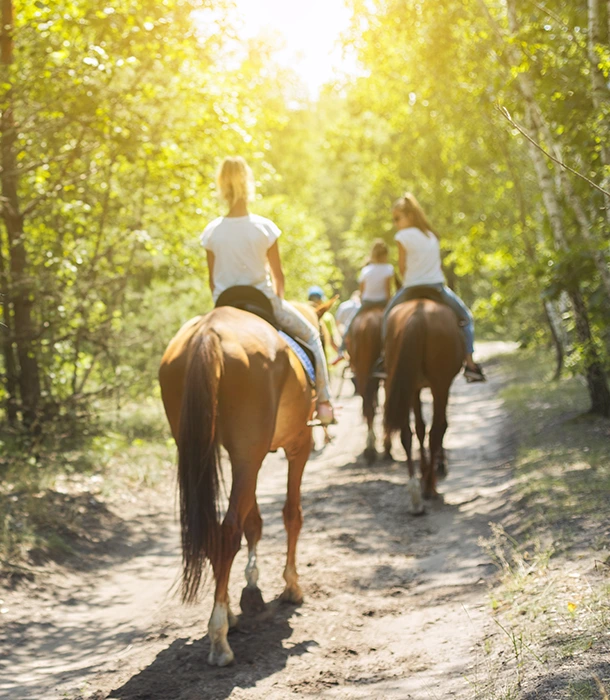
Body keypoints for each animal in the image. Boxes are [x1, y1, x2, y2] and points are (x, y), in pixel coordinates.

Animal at [158, 306, 314, 668]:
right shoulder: (298, 446)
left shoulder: (249, 458)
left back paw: (227, 616)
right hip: (248, 453)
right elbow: (291, 514)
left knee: (215, 533)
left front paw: (251, 590)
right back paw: (220, 638)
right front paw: (291, 586)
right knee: (228, 531)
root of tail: (209, 333)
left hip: (205, 449)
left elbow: (253, 521)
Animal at [382, 296, 464, 516]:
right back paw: (428, 488)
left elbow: (419, 428)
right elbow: (439, 427)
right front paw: (435, 469)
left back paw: (415, 494)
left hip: (407, 383)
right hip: (439, 384)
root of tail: (418, 314)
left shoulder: (414, 387)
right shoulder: (441, 386)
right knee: (436, 430)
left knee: (406, 433)